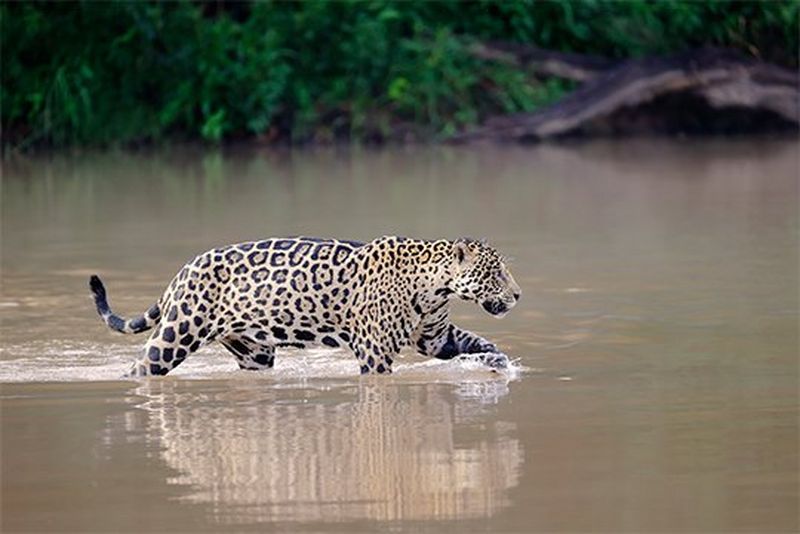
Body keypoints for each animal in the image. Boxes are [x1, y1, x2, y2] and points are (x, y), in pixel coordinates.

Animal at [89, 236, 521, 377]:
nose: (518, 295)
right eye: (497, 272)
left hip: (255, 354)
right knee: (142, 367)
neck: (436, 287)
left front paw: (499, 360)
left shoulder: (435, 337)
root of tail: (181, 272)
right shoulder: (375, 355)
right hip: (176, 335)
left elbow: (474, 342)